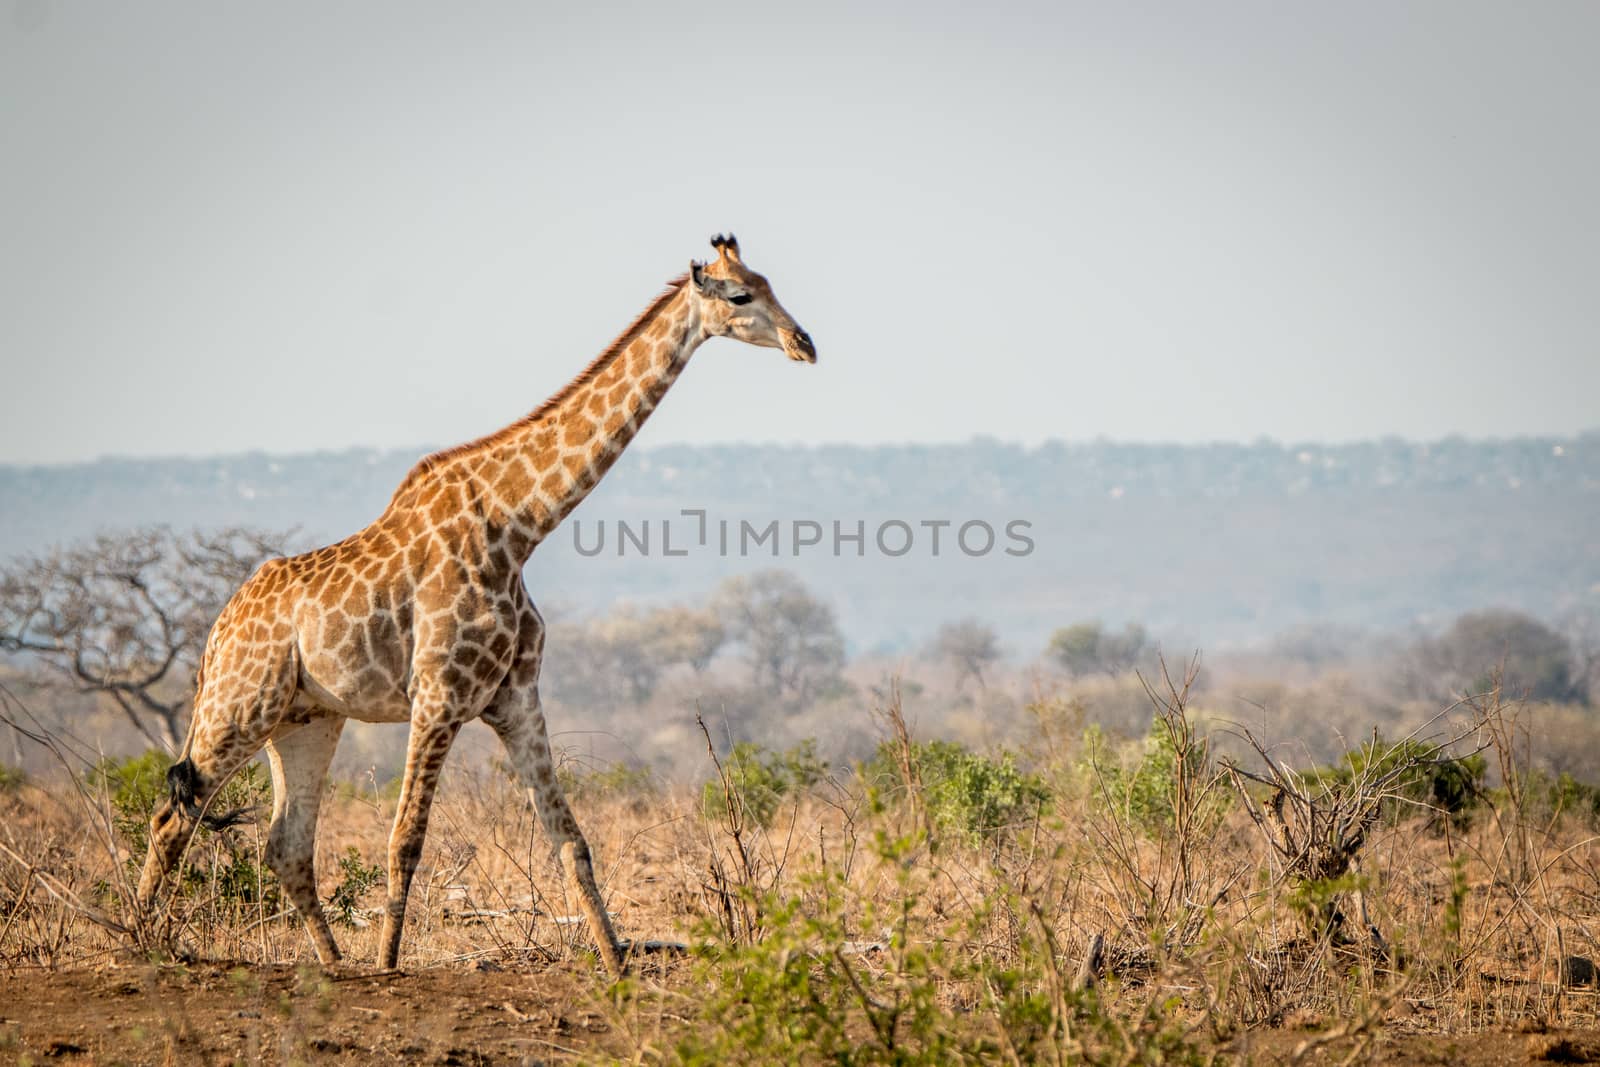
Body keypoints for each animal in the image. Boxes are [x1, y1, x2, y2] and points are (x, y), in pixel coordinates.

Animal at [134, 233, 812, 979]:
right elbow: (405, 838)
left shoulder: (515, 697)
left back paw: (331, 962)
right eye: (741, 295)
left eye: (770, 283)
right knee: (173, 817)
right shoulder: (437, 695)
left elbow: (571, 839)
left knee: (285, 843)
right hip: (238, 706)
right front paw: (389, 966)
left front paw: (617, 965)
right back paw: (142, 944)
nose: (804, 343)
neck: (518, 526)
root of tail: (216, 632)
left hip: (306, 718)